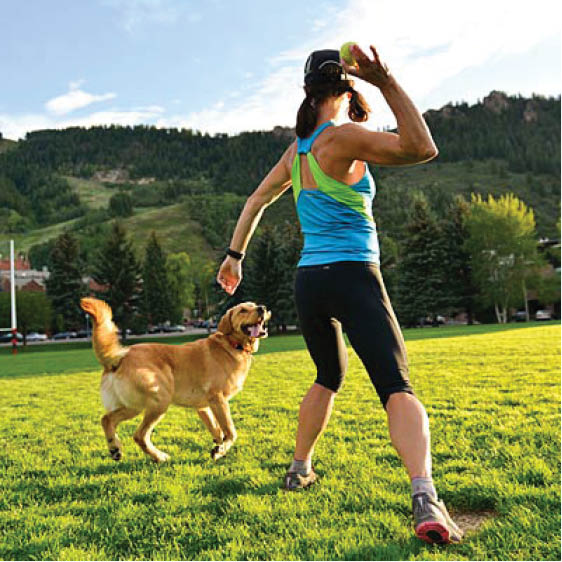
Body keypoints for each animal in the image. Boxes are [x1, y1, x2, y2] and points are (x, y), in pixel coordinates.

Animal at [80, 296, 270, 462]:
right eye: (243, 310)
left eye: (254, 305)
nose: (262, 308)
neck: (232, 345)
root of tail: (119, 357)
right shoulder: (218, 399)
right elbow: (230, 431)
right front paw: (221, 449)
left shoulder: (203, 406)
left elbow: (217, 430)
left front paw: (219, 450)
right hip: (159, 401)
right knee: (140, 435)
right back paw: (159, 457)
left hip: (133, 406)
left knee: (106, 419)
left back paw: (115, 448)